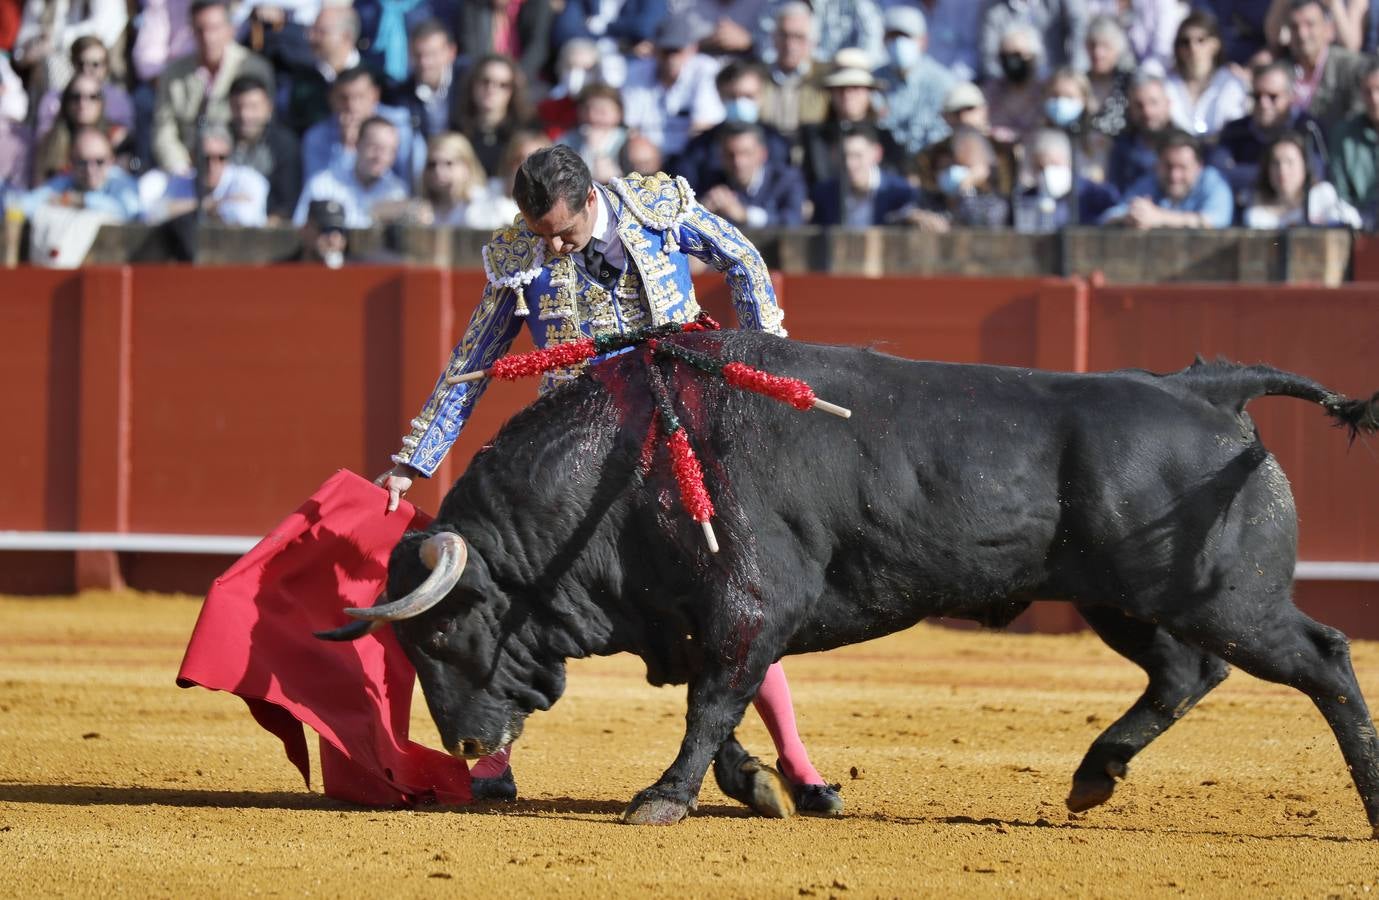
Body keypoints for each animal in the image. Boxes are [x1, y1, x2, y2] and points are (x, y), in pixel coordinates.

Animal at [317, 332, 1379, 837]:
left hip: (1224, 599)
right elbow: (719, 702)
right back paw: (1092, 776)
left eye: (442, 636)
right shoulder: (694, 620)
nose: (466, 746)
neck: (628, 461)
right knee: (1184, 675)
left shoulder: (751, 604)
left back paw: (1367, 806)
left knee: (1322, 660)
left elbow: (712, 700)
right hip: (1124, 602)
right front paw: (754, 787)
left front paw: (662, 798)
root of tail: (1203, 390)